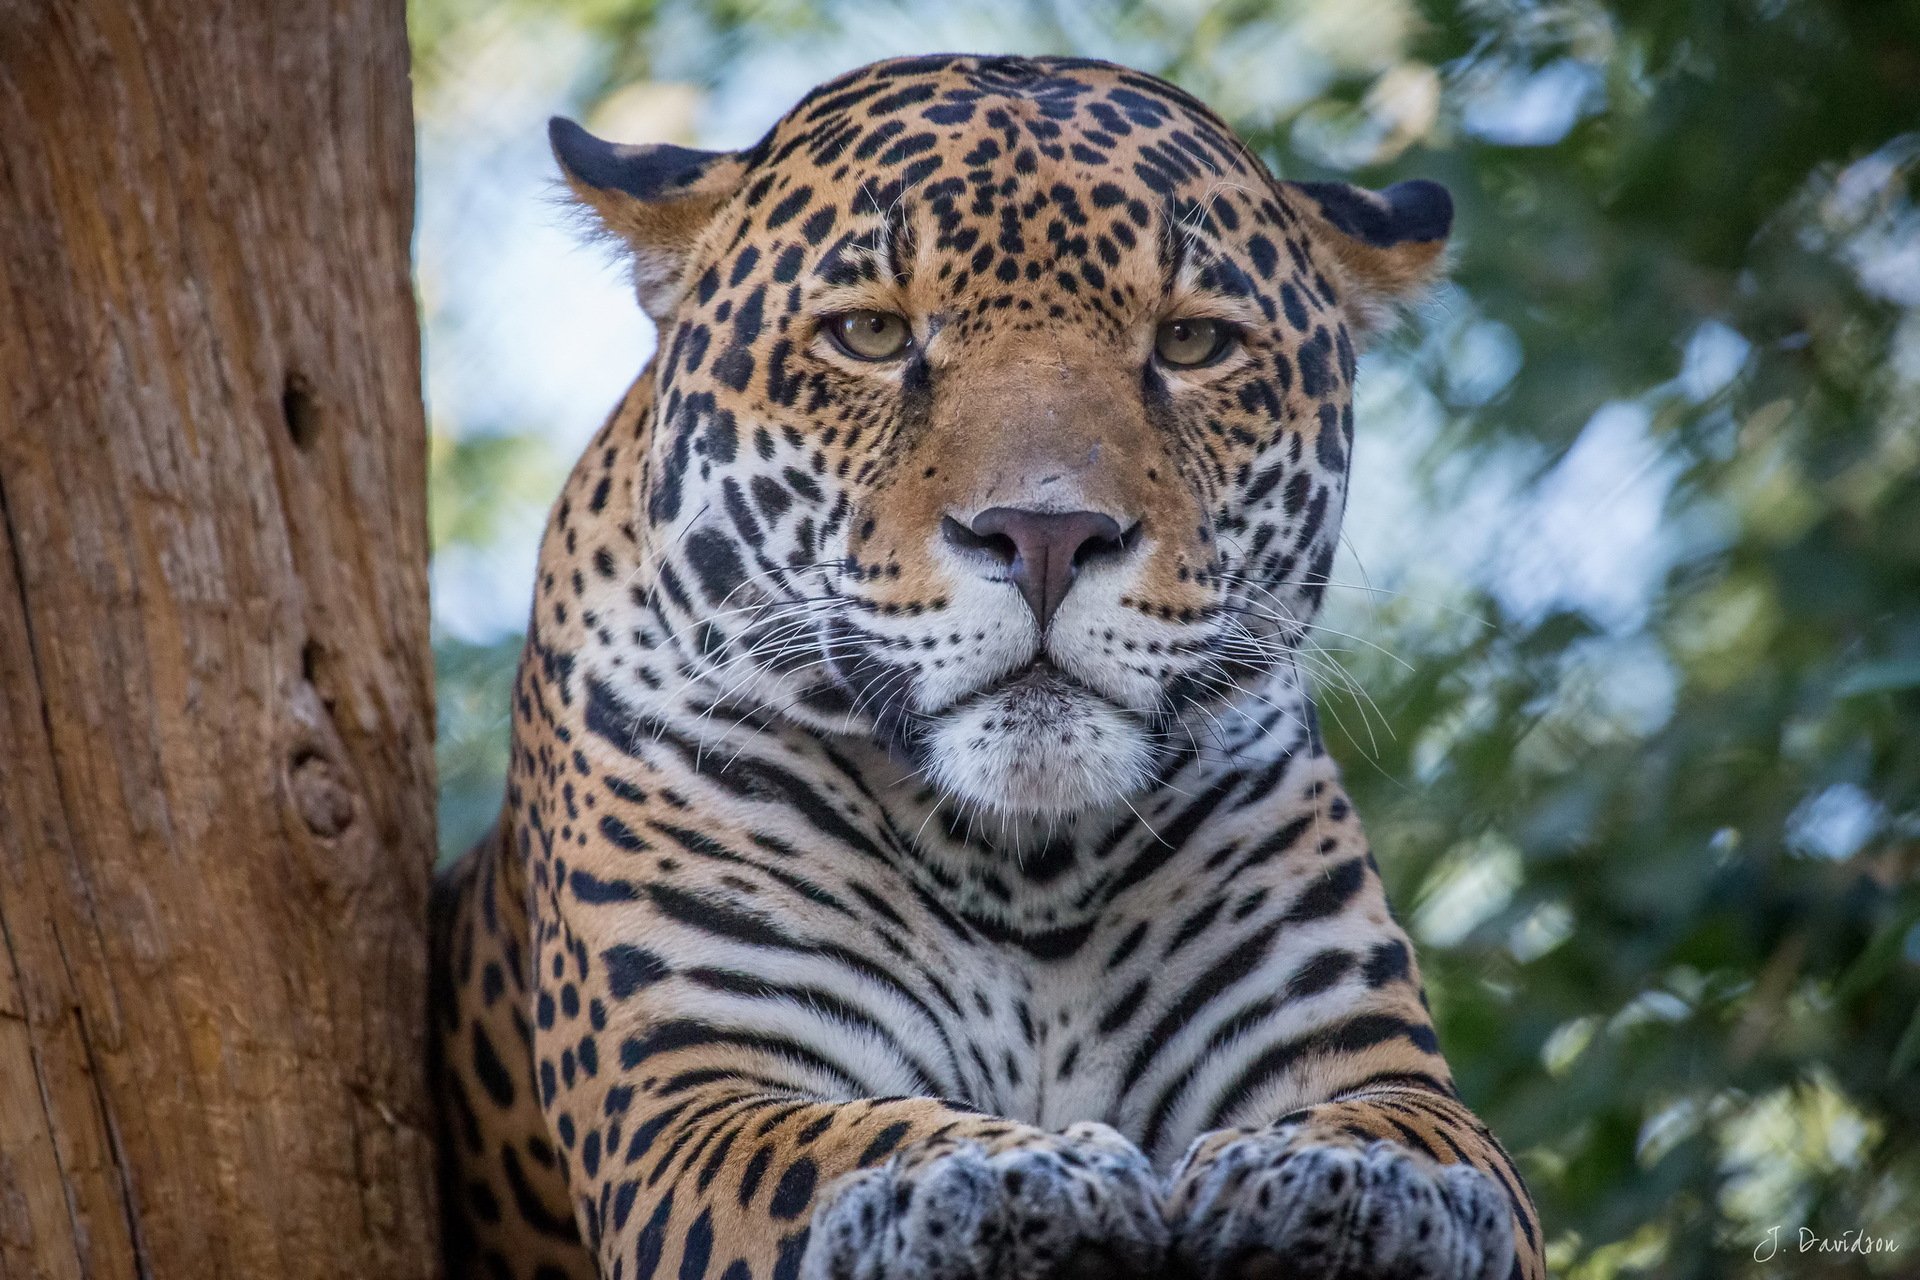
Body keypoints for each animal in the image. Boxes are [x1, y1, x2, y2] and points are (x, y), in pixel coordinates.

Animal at [430, 52, 1545, 1280]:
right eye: (870, 334)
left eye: (1193, 345)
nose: (1046, 535)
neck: (1021, 866)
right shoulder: (693, 1093)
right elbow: (842, 1145)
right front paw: (1003, 1179)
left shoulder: (1363, 1051)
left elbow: (1426, 1142)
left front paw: (1352, 1183)